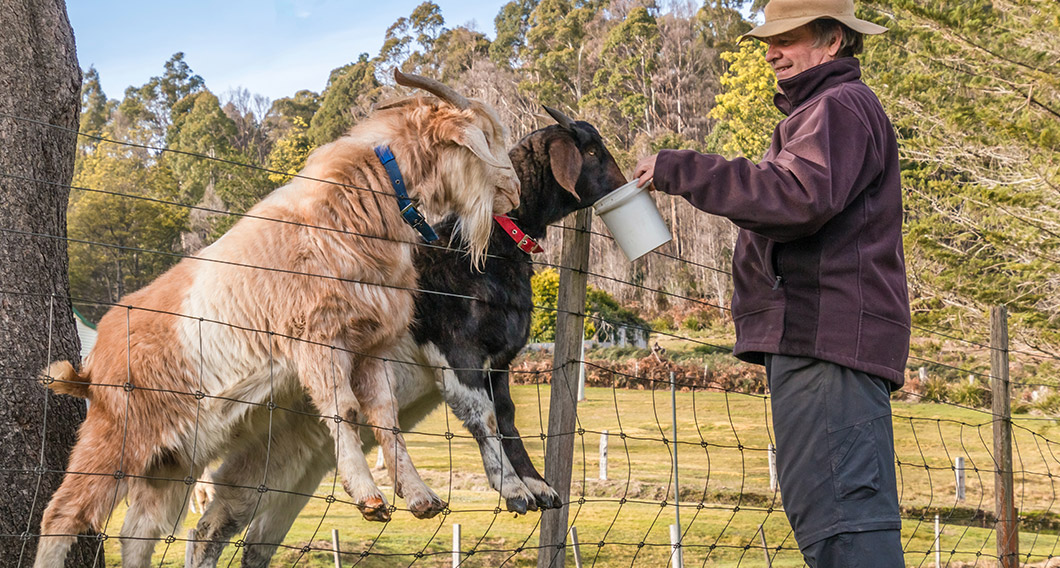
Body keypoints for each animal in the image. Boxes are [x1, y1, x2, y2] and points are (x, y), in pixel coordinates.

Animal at [36, 72, 521, 568]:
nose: (515, 191)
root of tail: (94, 362)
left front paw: (420, 496)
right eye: (488, 136)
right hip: (115, 436)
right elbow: (346, 410)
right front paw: (369, 497)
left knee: (137, 533)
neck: (355, 204)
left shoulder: (372, 343)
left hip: (170, 462)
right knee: (64, 514)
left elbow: (384, 418)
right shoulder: (316, 337)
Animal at [191, 108, 623, 563]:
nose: (630, 183)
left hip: (292, 468)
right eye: (591, 151)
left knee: (240, 536)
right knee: (209, 528)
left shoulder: (501, 361)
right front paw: (513, 489)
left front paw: (537, 485)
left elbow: (506, 417)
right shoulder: (457, 350)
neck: (486, 244)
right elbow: (483, 416)